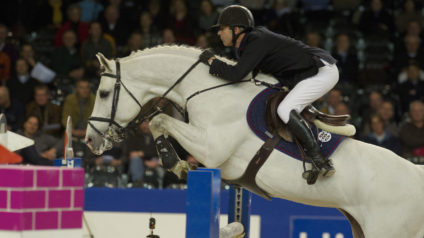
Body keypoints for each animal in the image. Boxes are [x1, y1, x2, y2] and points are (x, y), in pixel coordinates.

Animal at [85, 45, 424, 237]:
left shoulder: (211, 146)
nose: (90, 141)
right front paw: (176, 162)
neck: (207, 89)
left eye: (103, 93)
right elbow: (160, 122)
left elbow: (158, 120)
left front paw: (175, 164)